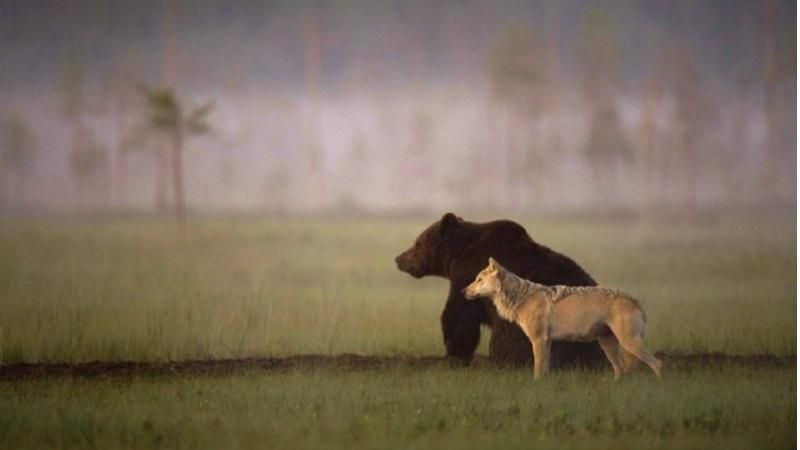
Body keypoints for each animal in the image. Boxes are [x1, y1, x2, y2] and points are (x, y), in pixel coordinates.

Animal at [394, 213, 608, 368]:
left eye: (418, 243)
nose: (398, 258)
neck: (457, 254)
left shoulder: (467, 274)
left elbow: (459, 316)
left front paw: (454, 354)